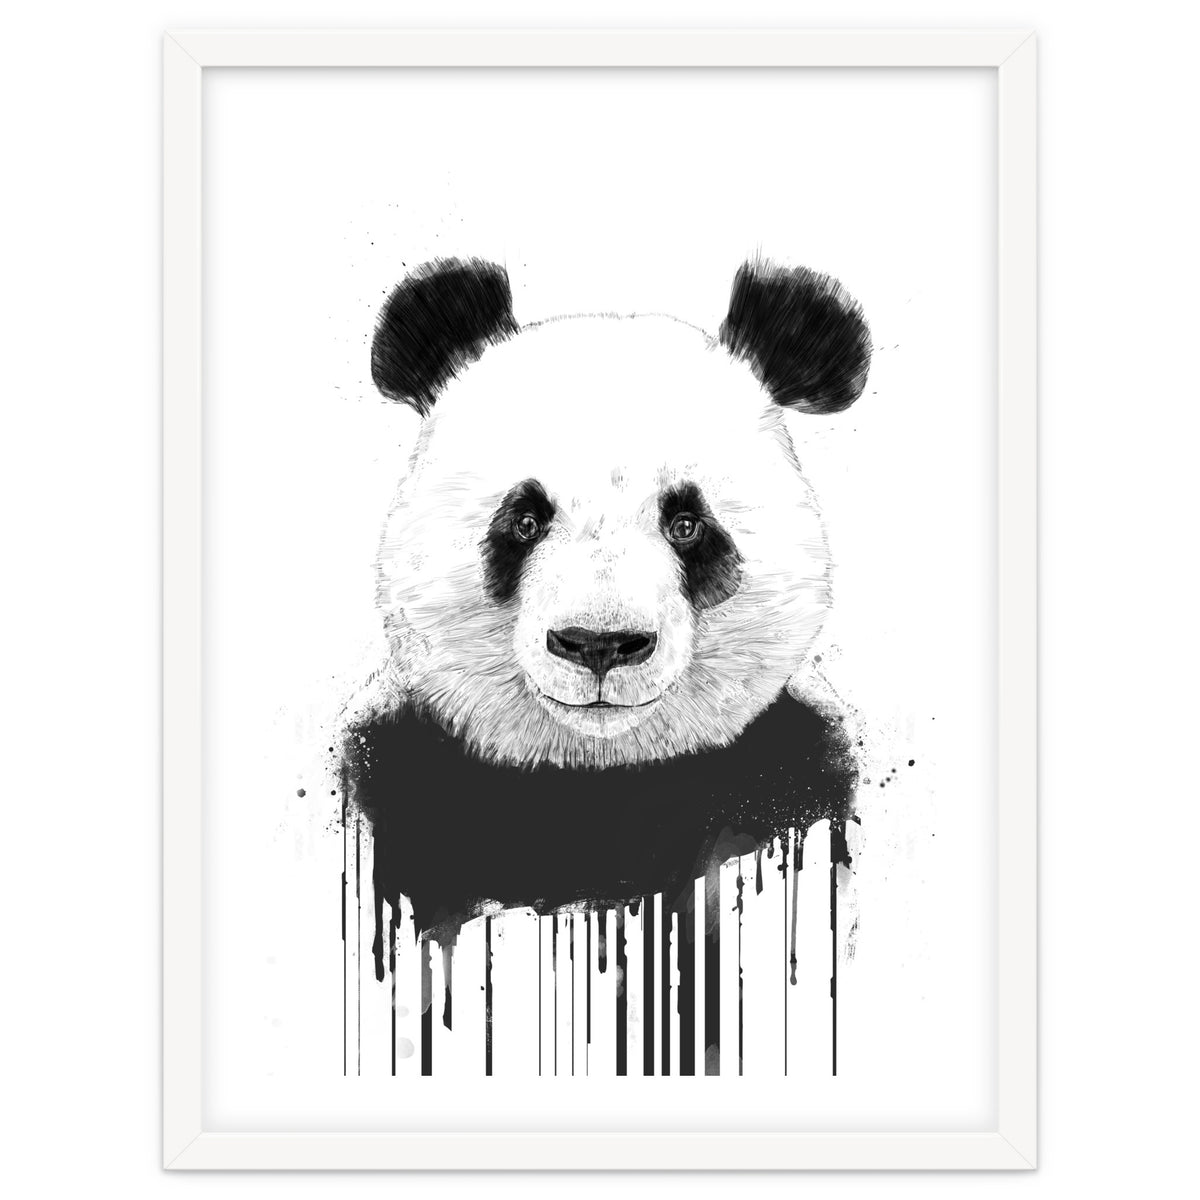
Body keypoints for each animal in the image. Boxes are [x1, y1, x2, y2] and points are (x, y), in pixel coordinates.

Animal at [341, 256, 870, 964]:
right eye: (525, 520)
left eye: (687, 524)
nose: (598, 644)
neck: (597, 774)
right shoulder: (400, 766)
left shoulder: (792, 768)